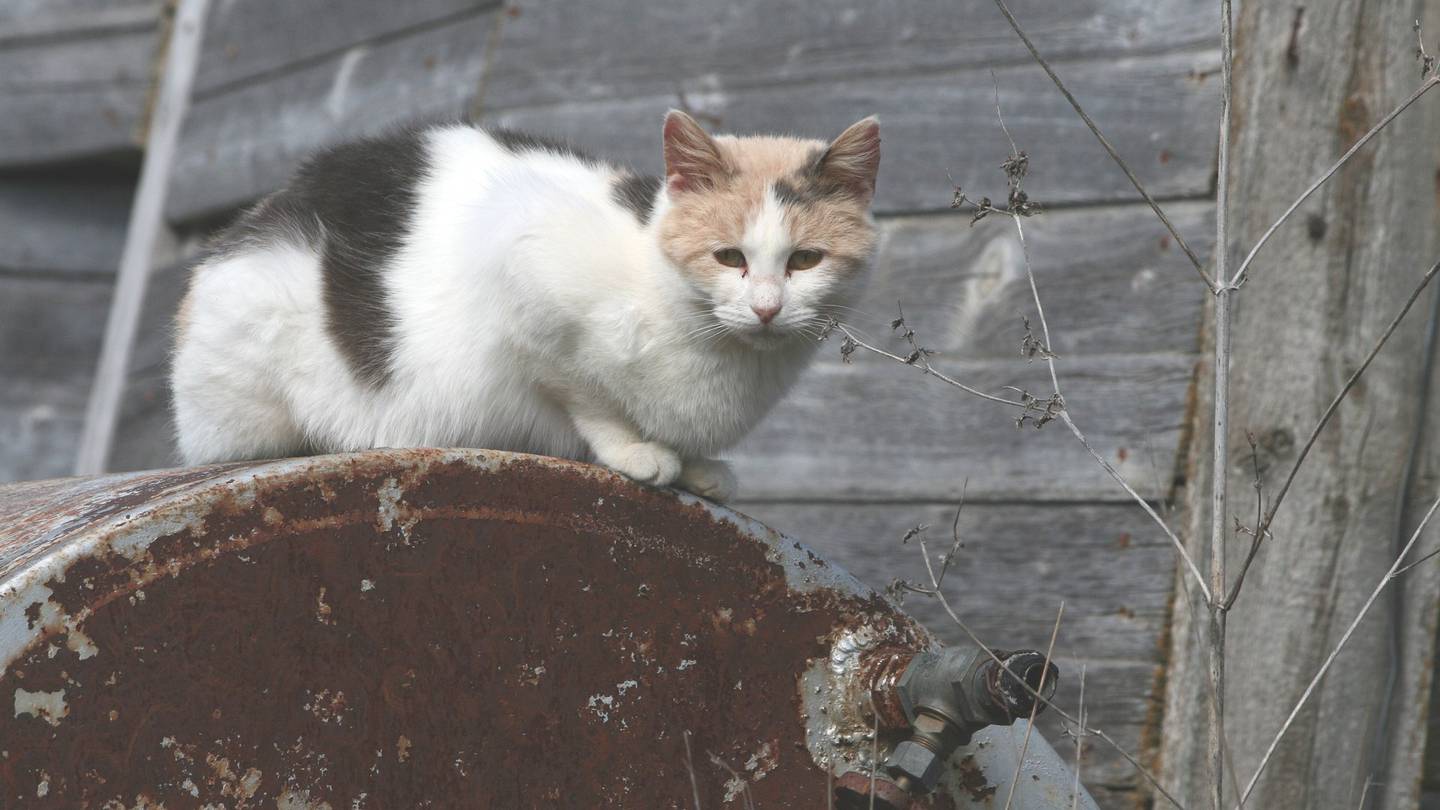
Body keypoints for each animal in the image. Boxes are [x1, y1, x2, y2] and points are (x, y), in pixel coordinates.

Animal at [174, 107, 881, 498]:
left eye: (805, 261)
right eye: (729, 257)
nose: (766, 308)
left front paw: (700, 468)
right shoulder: (520, 257)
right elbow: (582, 393)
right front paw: (637, 451)